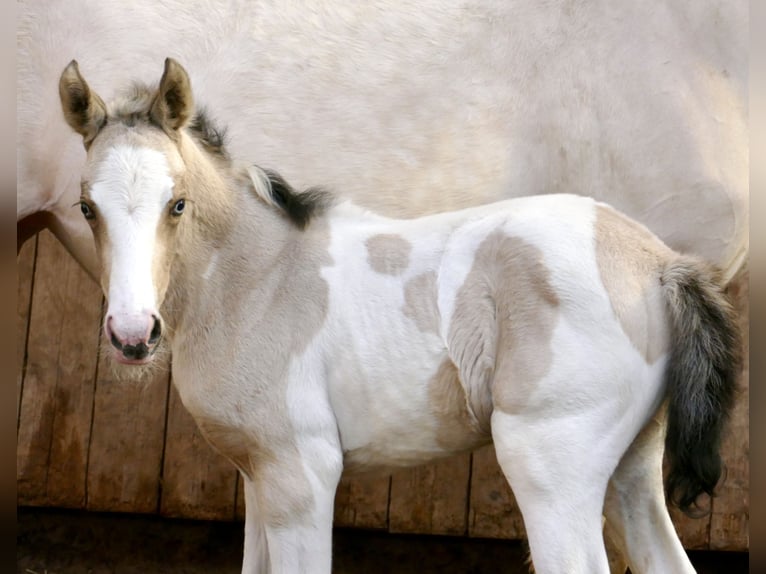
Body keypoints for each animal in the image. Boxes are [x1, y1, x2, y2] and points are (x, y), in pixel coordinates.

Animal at [58, 57, 740, 574]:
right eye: (87, 207)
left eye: (177, 204)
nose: (132, 335)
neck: (261, 281)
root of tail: (660, 262)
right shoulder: (260, 473)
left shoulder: (304, 474)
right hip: (629, 468)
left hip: (550, 465)